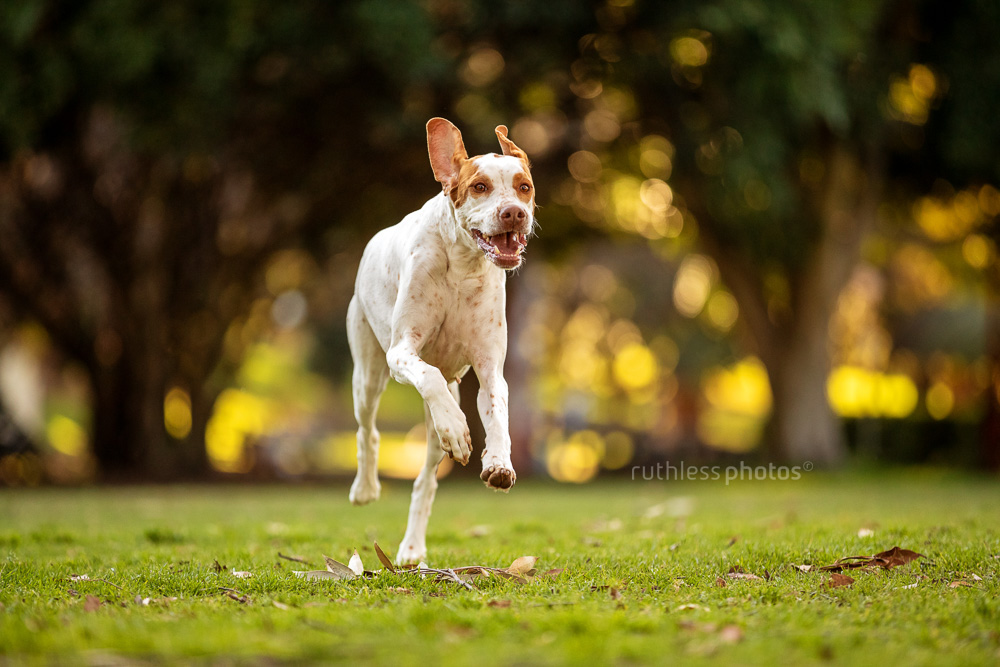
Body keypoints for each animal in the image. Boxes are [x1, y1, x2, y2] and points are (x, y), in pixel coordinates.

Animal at [346, 118, 536, 564]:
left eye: (524, 187)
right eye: (480, 186)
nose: (514, 213)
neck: (463, 265)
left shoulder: (489, 368)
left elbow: (497, 411)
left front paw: (499, 463)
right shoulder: (402, 351)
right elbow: (427, 375)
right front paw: (457, 428)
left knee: (426, 480)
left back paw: (413, 547)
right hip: (368, 374)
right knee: (369, 430)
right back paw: (366, 488)